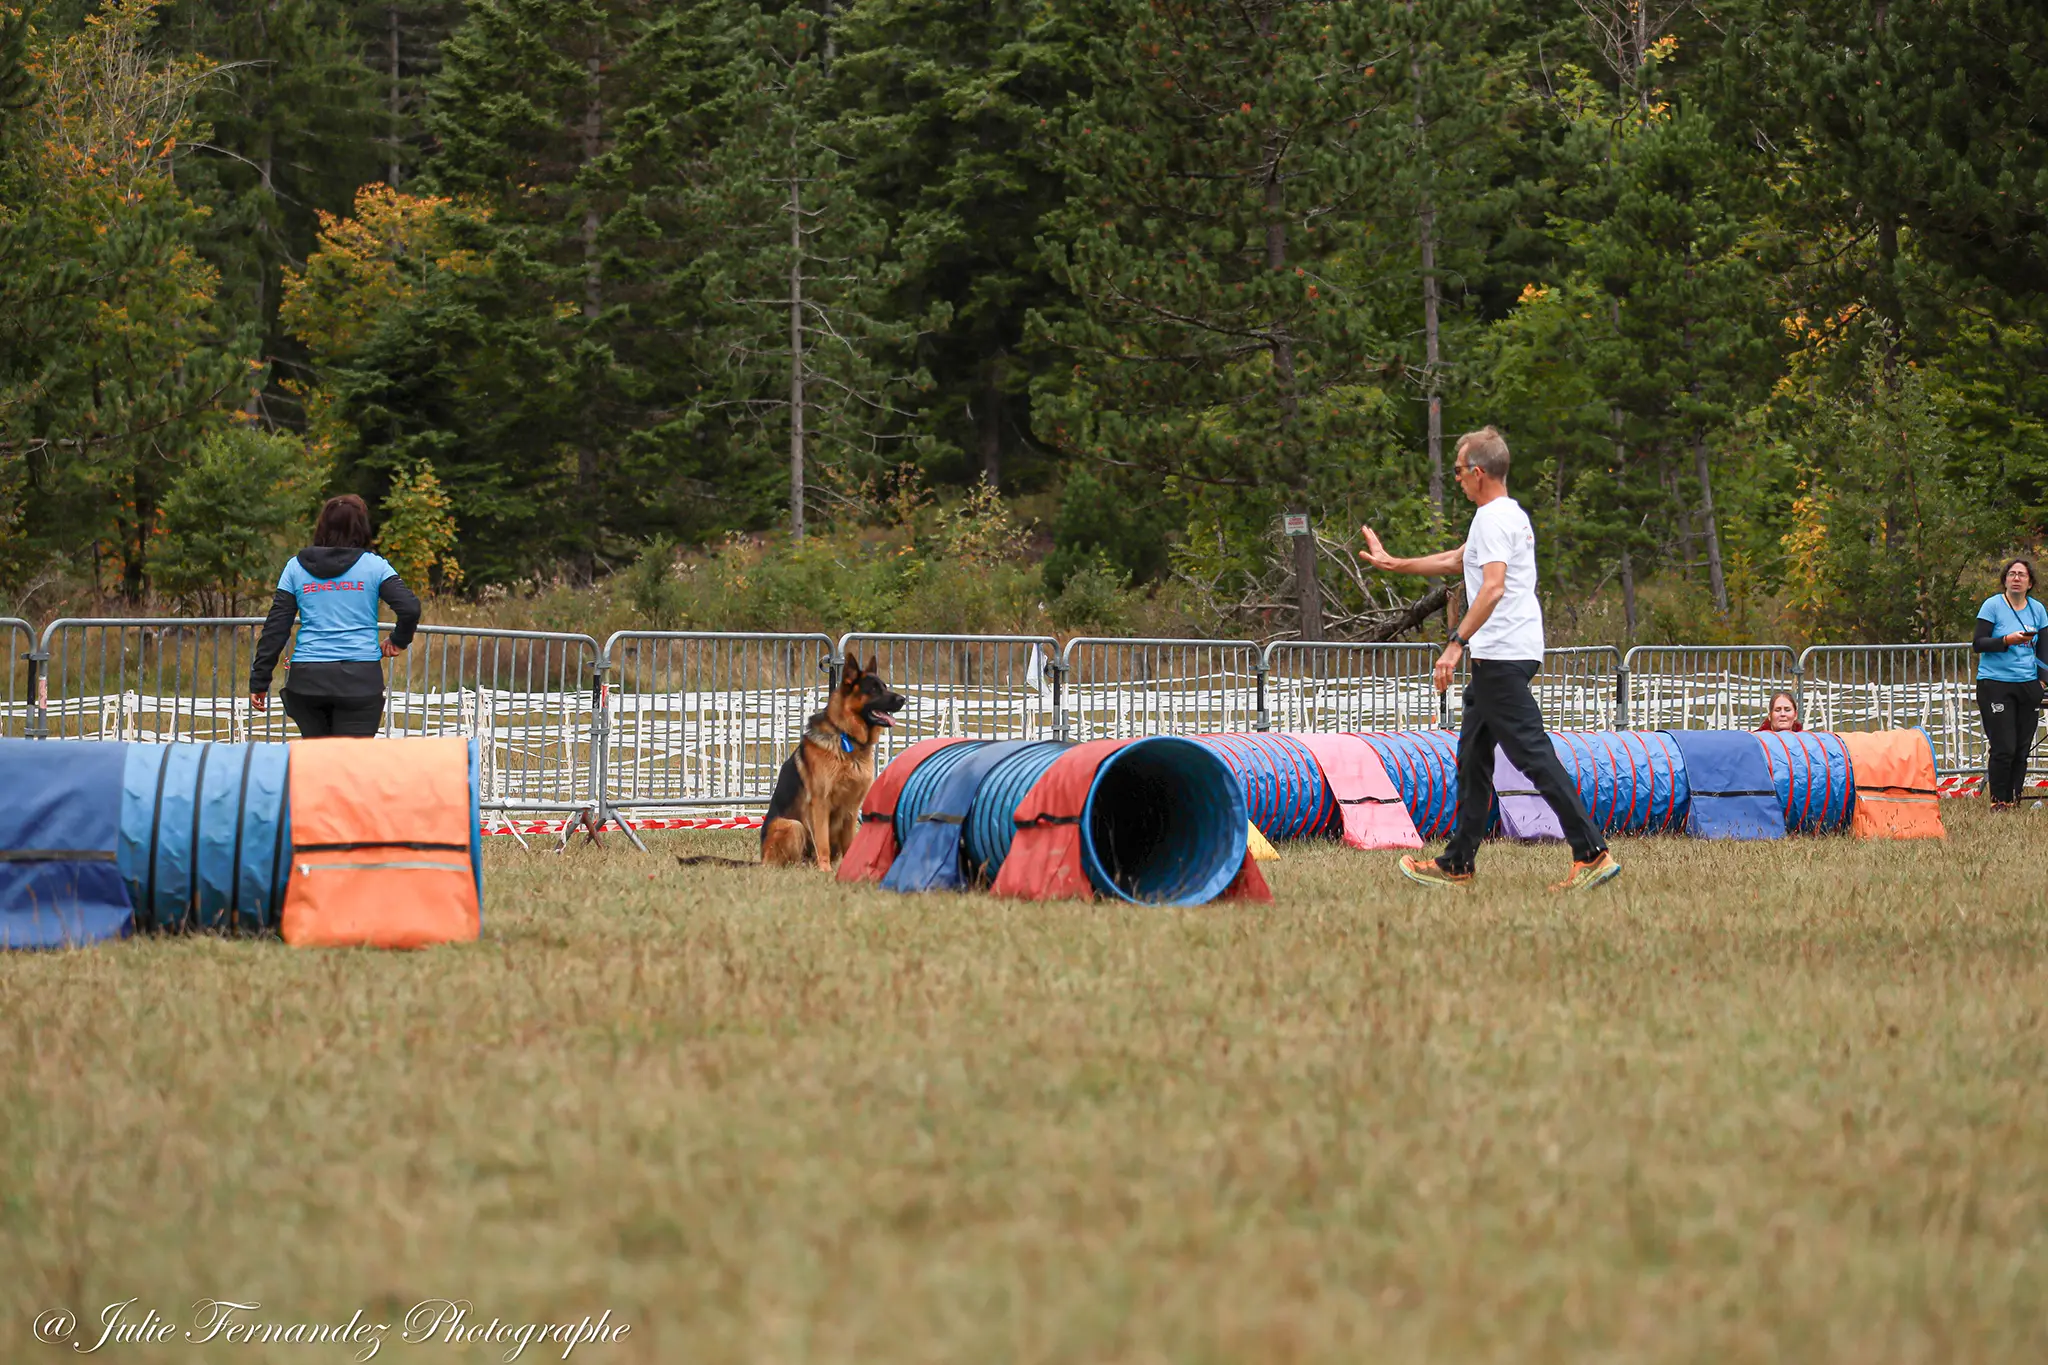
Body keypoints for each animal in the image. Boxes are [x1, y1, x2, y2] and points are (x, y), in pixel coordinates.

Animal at [679, 654, 905, 871]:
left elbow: (852, 845)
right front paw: (826, 871)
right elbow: (822, 842)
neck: (845, 735)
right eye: (874, 689)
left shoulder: (850, 810)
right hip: (793, 825)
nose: (903, 699)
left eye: (884, 686)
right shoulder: (820, 804)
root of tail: (762, 859)